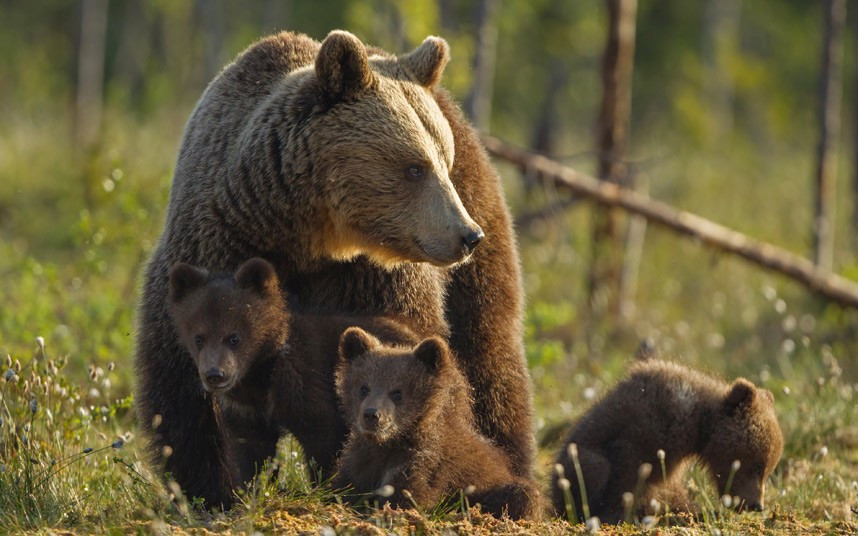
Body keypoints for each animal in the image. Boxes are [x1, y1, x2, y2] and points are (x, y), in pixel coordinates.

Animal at [167, 257, 418, 485]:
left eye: (234, 337)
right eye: (199, 337)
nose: (215, 375)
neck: (260, 376)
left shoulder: (307, 382)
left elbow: (325, 440)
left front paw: (324, 485)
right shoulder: (245, 409)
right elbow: (250, 450)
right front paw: (253, 487)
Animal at [332, 327, 540, 520]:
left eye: (397, 393)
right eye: (364, 388)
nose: (372, 414)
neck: (388, 445)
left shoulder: (423, 463)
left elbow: (410, 496)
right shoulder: (361, 461)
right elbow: (344, 487)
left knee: (523, 494)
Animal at [551, 359, 783, 524]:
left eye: (769, 469)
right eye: (757, 466)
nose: (757, 505)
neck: (699, 423)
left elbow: (667, 487)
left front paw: (694, 512)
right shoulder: (646, 432)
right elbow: (627, 476)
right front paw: (617, 515)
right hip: (581, 459)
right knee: (594, 469)